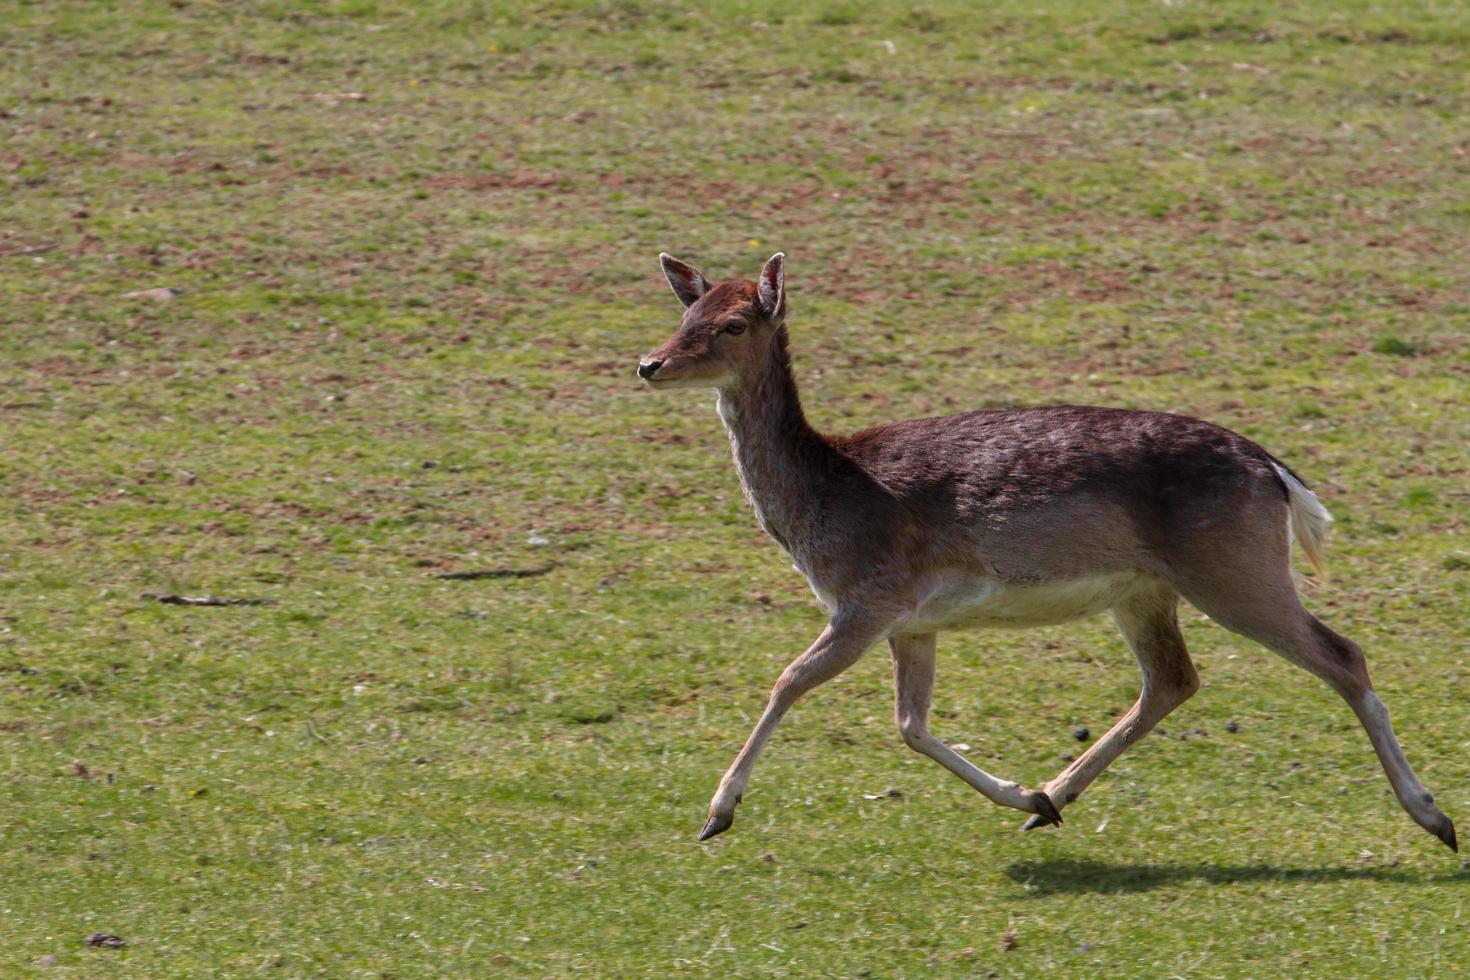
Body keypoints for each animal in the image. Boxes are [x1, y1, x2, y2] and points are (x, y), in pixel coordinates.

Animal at [640, 249, 1458, 852]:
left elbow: (789, 682)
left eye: (735, 322)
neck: (824, 497)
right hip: (1145, 590)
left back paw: (1435, 817)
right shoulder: (913, 619)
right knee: (1174, 680)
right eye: (685, 312)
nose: (650, 364)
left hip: (1235, 571)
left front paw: (715, 814)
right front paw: (1023, 792)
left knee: (1342, 654)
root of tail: (1277, 473)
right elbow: (910, 724)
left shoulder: (868, 597)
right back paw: (1050, 802)